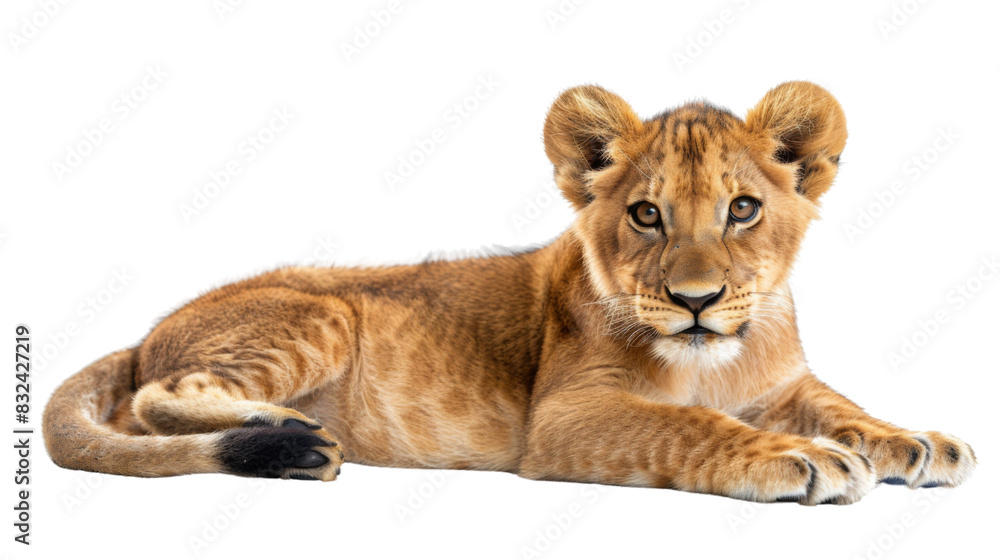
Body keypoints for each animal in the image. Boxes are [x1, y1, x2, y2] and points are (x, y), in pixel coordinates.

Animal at [43, 81, 975, 504]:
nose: (697, 301)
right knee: (159, 399)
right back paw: (290, 434)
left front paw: (914, 441)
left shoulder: (787, 382)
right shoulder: (563, 417)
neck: (718, 356)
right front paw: (803, 458)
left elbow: (843, 403)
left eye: (743, 209)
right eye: (646, 214)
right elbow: (691, 425)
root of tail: (145, 332)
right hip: (319, 313)